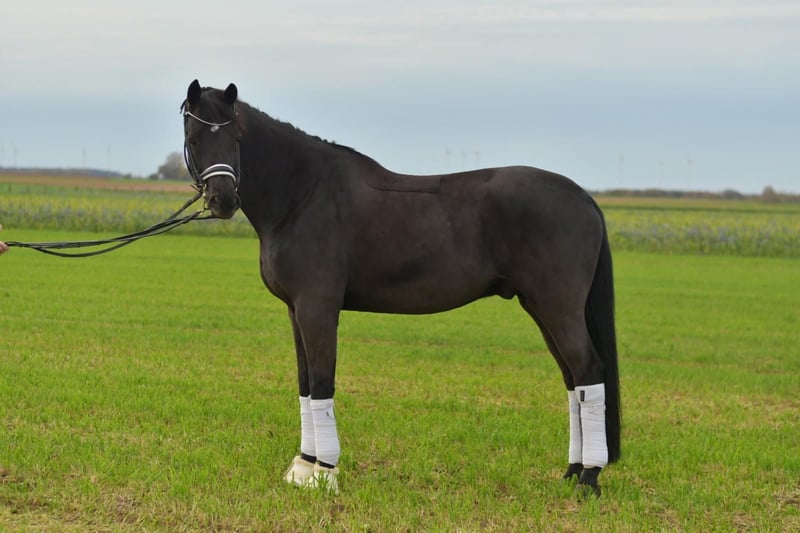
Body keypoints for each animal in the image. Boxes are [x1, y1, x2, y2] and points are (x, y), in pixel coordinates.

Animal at [181, 79, 620, 496]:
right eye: (194, 138)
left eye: (236, 138)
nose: (223, 200)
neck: (302, 194)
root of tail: (583, 197)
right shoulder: (295, 310)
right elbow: (305, 384)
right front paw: (303, 468)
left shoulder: (317, 307)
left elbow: (322, 382)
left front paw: (325, 473)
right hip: (541, 307)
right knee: (572, 380)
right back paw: (572, 471)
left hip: (558, 307)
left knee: (587, 370)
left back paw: (589, 478)